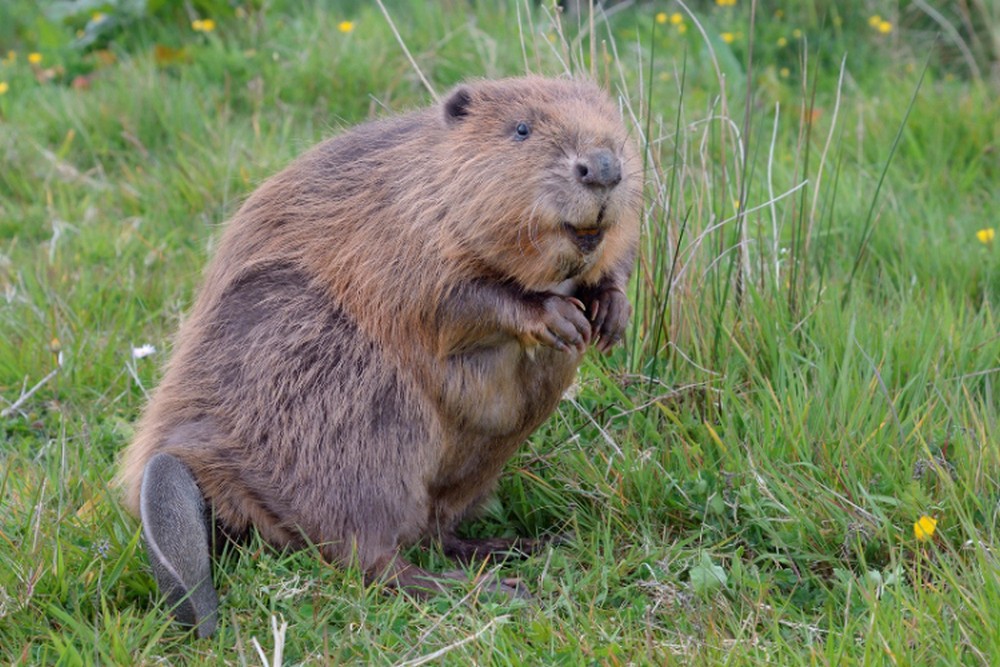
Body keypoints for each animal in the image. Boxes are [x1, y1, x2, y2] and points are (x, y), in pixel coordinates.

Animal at [119, 75, 640, 640]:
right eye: (521, 128)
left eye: (612, 119)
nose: (602, 168)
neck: (424, 176)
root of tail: (183, 460)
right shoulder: (397, 225)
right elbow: (451, 298)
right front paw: (557, 317)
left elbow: (618, 258)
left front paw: (610, 311)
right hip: (337, 402)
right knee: (367, 554)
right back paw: (490, 587)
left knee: (433, 529)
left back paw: (518, 544)